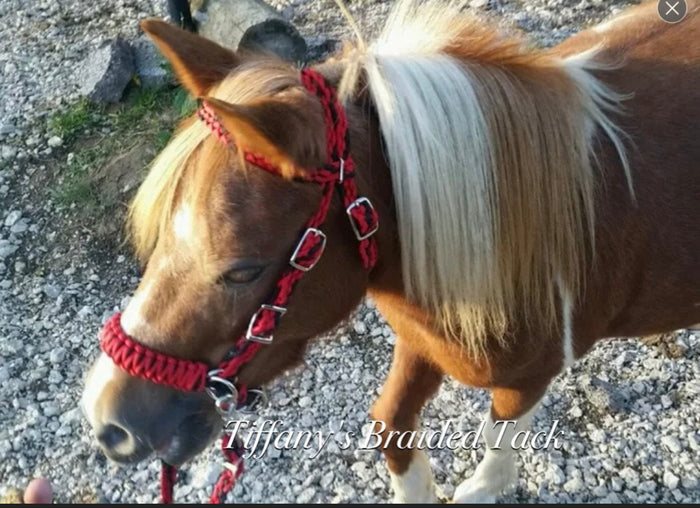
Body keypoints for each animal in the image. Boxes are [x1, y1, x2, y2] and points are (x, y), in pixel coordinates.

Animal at [80, 0, 700, 502]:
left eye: (243, 270)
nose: (107, 420)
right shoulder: (422, 340)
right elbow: (390, 426)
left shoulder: (528, 378)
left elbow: (496, 446)